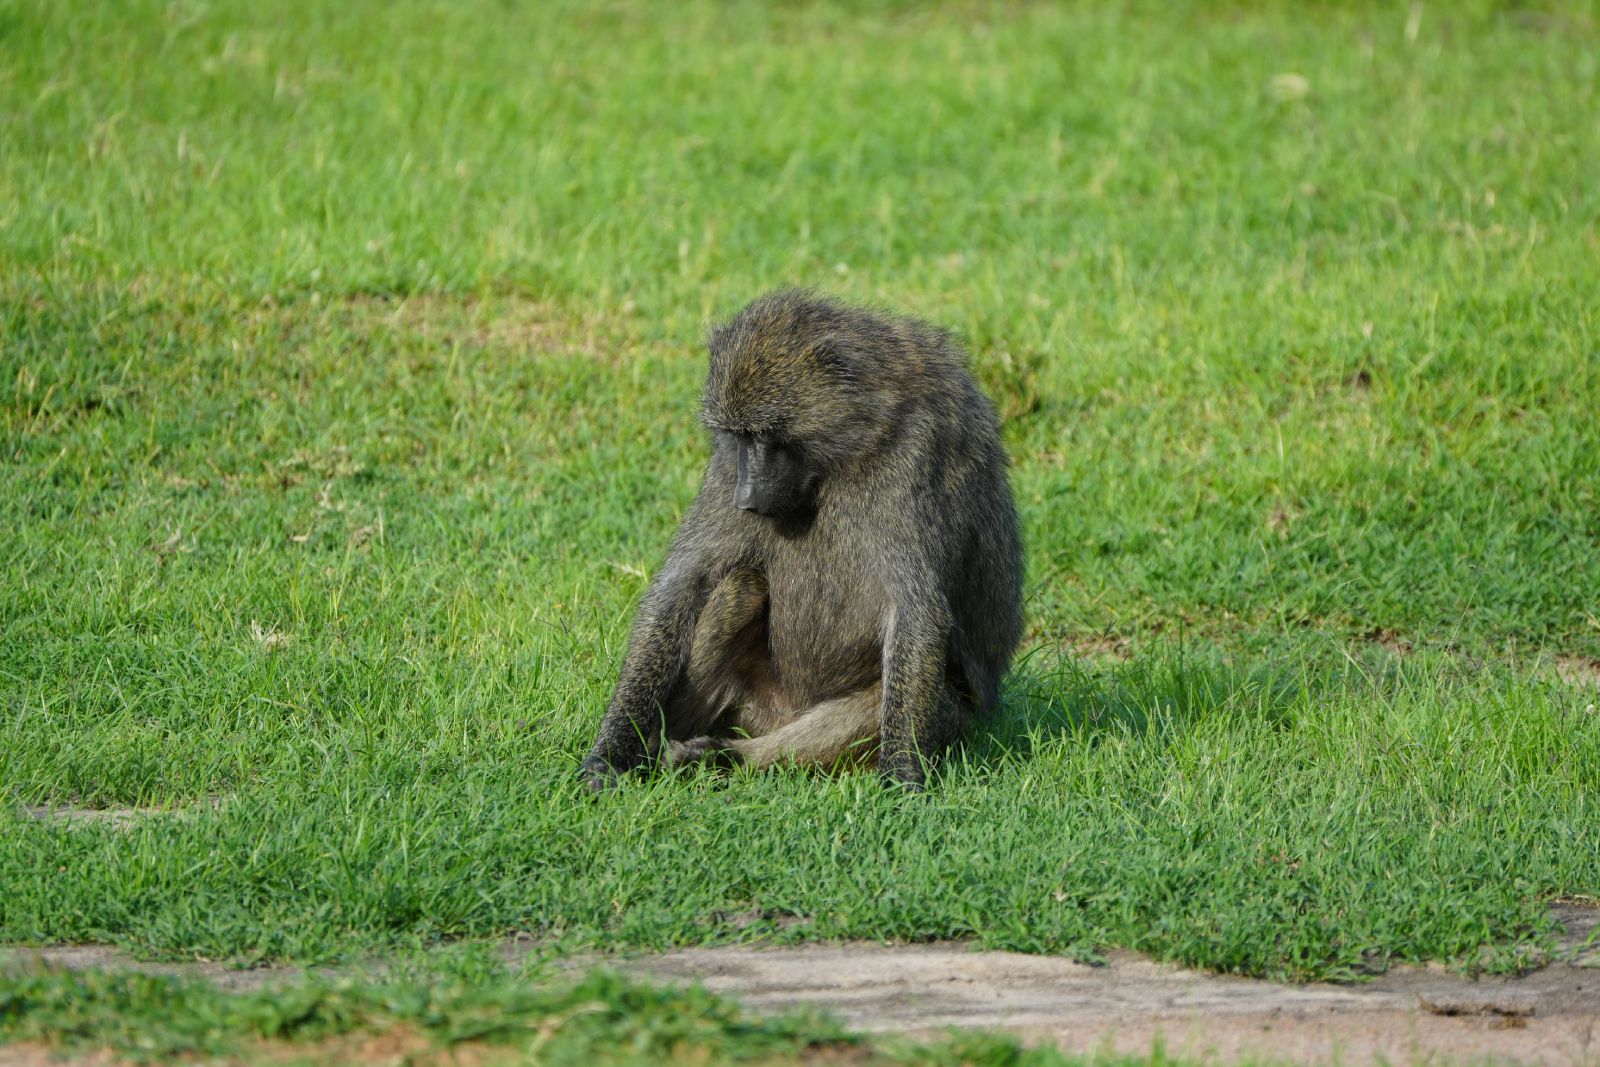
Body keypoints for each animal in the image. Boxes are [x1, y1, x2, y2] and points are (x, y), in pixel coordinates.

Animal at [582, 290, 1023, 792]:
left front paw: (902, 778)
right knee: (740, 586)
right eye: (737, 436)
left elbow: (917, 612)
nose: (745, 499)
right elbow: (682, 585)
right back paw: (668, 745)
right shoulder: (725, 467)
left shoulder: (915, 455)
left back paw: (729, 759)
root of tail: (780, 716)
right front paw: (612, 751)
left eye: (768, 434)